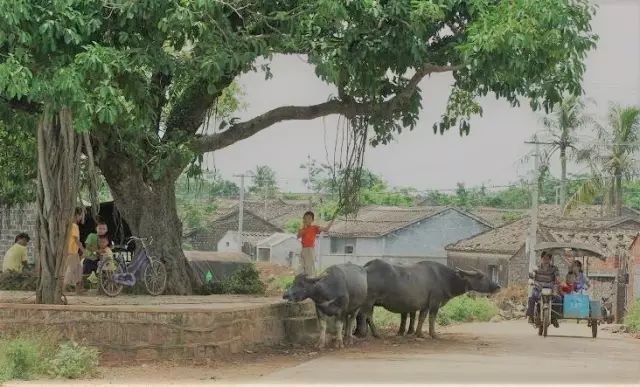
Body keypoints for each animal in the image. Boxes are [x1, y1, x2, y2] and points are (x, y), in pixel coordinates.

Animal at [356, 260, 500, 340]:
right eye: (481, 277)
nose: (497, 286)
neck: (445, 278)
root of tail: (366, 268)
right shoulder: (435, 302)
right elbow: (432, 318)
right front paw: (433, 334)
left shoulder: (425, 305)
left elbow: (422, 318)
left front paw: (419, 334)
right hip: (369, 301)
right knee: (366, 316)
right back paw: (373, 334)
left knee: (364, 316)